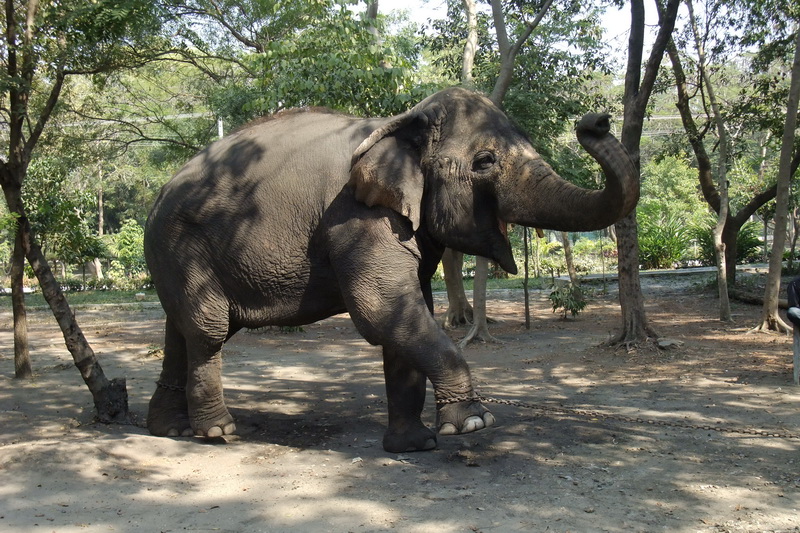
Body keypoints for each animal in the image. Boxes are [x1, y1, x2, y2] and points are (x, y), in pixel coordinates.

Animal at [144, 87, 638, 453]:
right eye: (485, 162)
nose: (596, 121)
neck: (403, 120)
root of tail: (160, 194)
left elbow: (408, 312)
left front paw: (414, 445)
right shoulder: (356, 217)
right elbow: (381, 309)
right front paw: (473, 423)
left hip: (175, 255)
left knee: (183, 329)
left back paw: (170, 429)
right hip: (181, 245)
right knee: (208, 330)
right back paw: (217, 434)